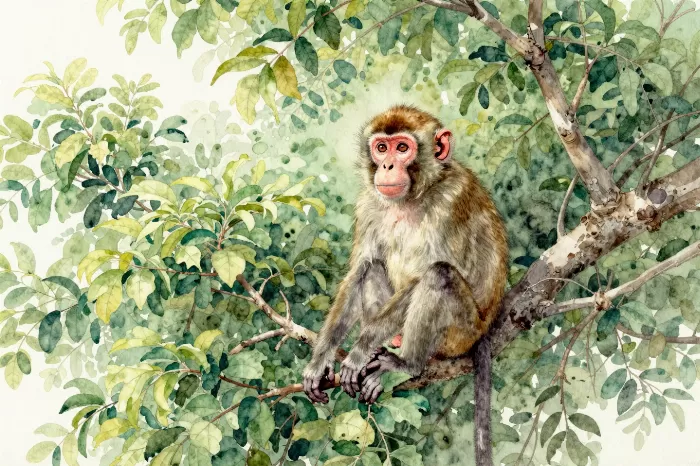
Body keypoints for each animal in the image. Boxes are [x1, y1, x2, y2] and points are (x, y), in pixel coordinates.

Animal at [302, 105, 508, 465]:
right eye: (381, 148)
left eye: (402, 148)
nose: (386, 166)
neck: (416, 195)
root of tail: (484, 329)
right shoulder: (368, 203)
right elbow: (359, 269)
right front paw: (321, 358)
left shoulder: (450, 201)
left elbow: (428, 272)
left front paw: (359, 352)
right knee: (372, 268)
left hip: (460, 333)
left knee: (439, 275)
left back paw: (405, 363)